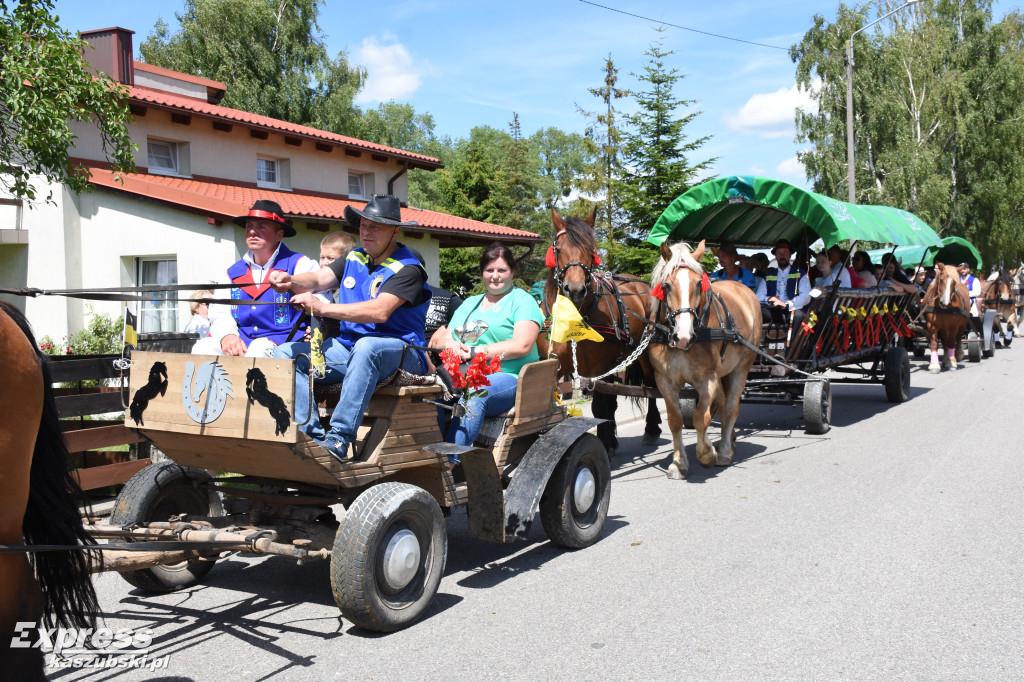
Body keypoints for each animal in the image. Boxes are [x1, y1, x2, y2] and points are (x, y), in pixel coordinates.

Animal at [536, 209, 663, 454]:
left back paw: (651, 428)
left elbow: (599, 406)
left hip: (643, 351)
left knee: (650, 385)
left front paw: (604, 441)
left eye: (590, 250)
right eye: (558, 249)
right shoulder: (552, 366)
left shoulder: (598, 368)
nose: (575, 290)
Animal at [647, 238, 761, 477]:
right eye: (667, 285)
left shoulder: (707, 378)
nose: (683, 336)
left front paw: (707, 453)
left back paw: (725, 451)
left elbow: (701, 418)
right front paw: (679, 463)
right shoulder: (665, 381)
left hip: (741, 368)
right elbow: (675, 420)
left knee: (731, 408)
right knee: (722, 405)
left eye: (699, 284)